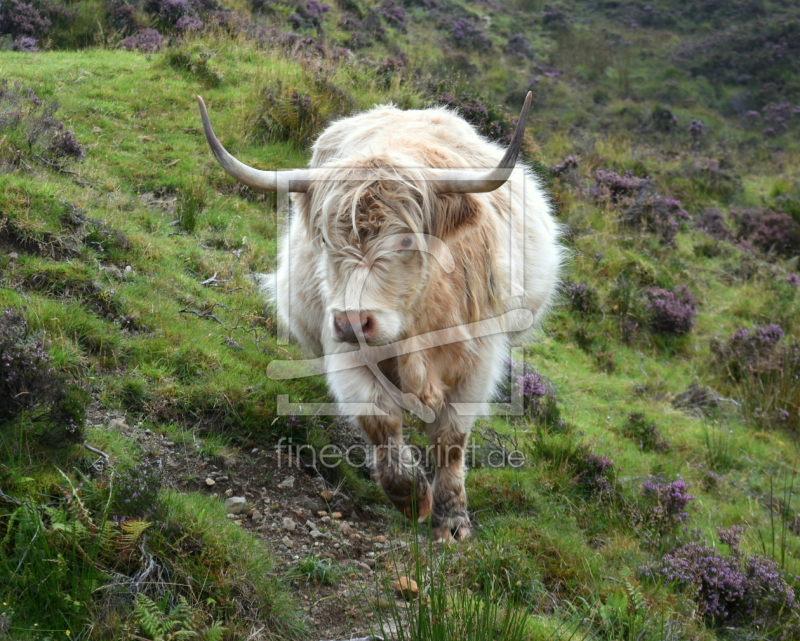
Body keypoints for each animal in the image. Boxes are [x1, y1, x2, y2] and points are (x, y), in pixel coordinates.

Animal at [198, 92, 564, 536]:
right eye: (325, 239)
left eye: (407, 240)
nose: (354, 322)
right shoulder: (343, 348)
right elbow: (378, 419)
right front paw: (411, 496)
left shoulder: (480, 358)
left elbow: (451, 438)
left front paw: (451, 518)